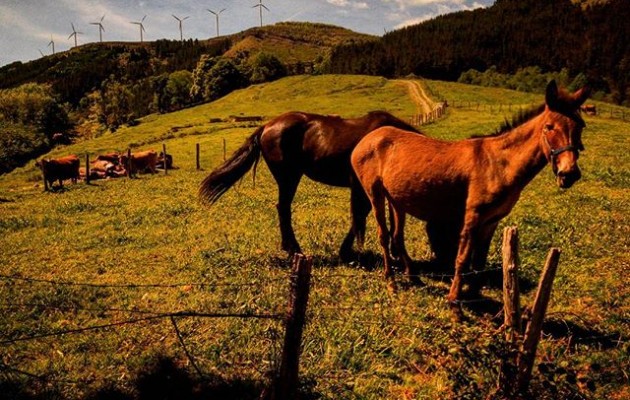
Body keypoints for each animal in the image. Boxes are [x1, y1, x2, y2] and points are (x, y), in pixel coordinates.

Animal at [200, 110, 422, 260]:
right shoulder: (361, 187)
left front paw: (395, 252)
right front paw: (346, 251)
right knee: (283, 208)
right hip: (289, 177)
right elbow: (360, 215)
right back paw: (294, 249)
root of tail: (267, 127)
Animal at [354, 79, 592, 314]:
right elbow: (462, 258)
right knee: (384, 236)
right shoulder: (472, 217)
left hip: (397, 199)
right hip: (375, 194)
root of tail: (368, 138)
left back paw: (413, 276)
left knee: (397, 236)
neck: (499, 164)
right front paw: (454, 303)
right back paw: (391, 281)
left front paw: (473, 297)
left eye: (580, 126)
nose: (569, 174)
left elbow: (479, 262)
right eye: (549, 127)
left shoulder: (491, 221)